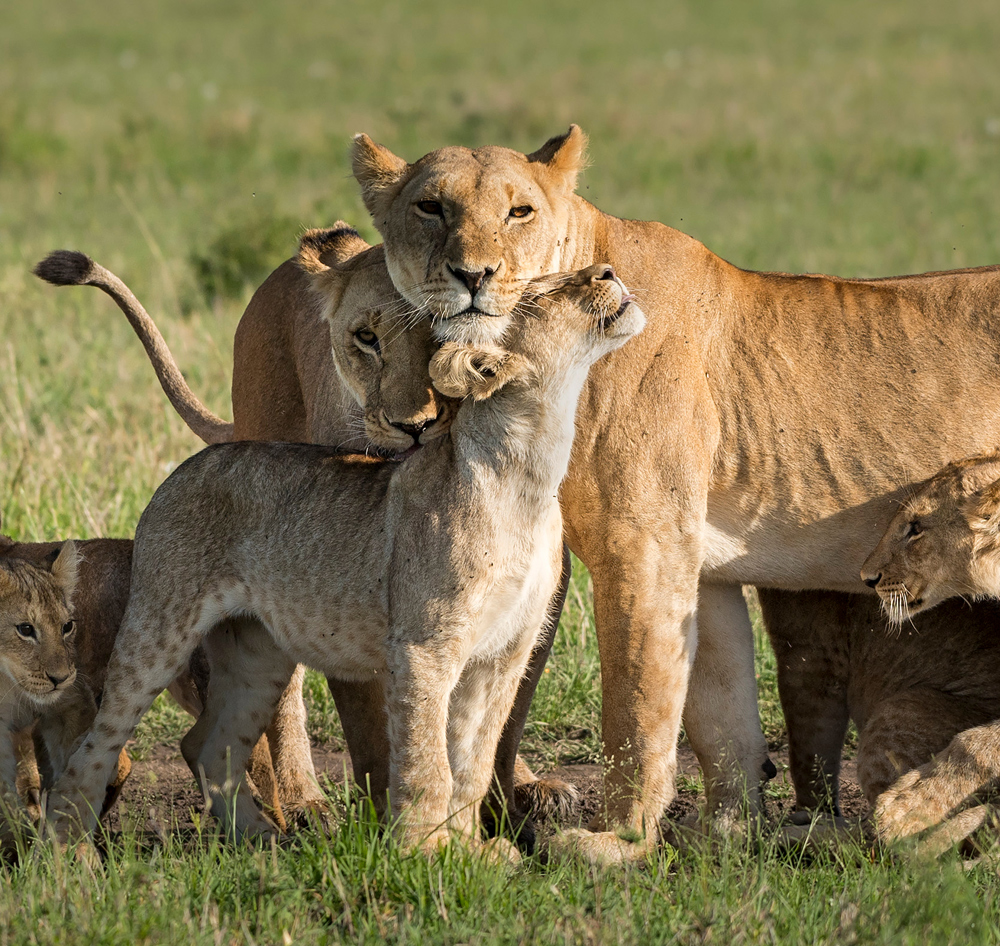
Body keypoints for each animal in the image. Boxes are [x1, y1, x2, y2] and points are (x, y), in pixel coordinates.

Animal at [45, 266, 640, 848]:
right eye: (541, 293)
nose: (610, 271)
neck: (531, 468)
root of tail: (187, 465)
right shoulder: (423, 649)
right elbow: (428, 767)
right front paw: (423, 855)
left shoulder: (503, 654)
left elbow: (472, 766)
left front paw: (476, 856)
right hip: (159, 628)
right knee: (96, 745)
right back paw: (69, 850)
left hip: (258, 654)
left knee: (208, 746)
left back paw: (263, 843)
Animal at [350, 125, 1000, 864]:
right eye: (431, 207)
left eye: (520, 212)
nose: (473, 276)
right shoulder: (701, 565)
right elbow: (718, 716)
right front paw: (727, 835)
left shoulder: (644, 544)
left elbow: (637, 706)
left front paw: (619, 839)